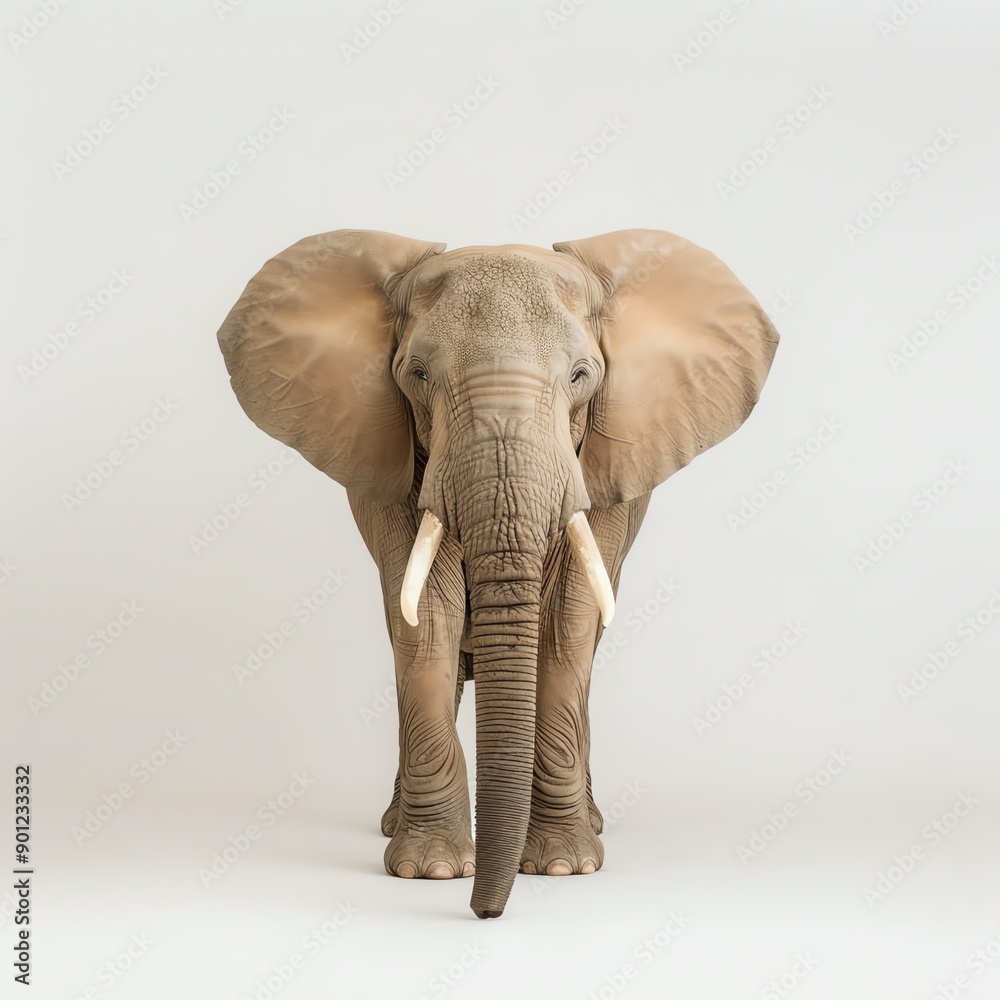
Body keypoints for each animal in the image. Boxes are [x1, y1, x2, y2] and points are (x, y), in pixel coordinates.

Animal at [216, 227, 778, 918]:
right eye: (417, 374)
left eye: (582, 376)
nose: (487, 913)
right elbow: (426, 618)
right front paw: (431, 870)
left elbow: (565, 626)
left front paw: (564, 866)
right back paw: (393, 823)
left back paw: (592, 823)